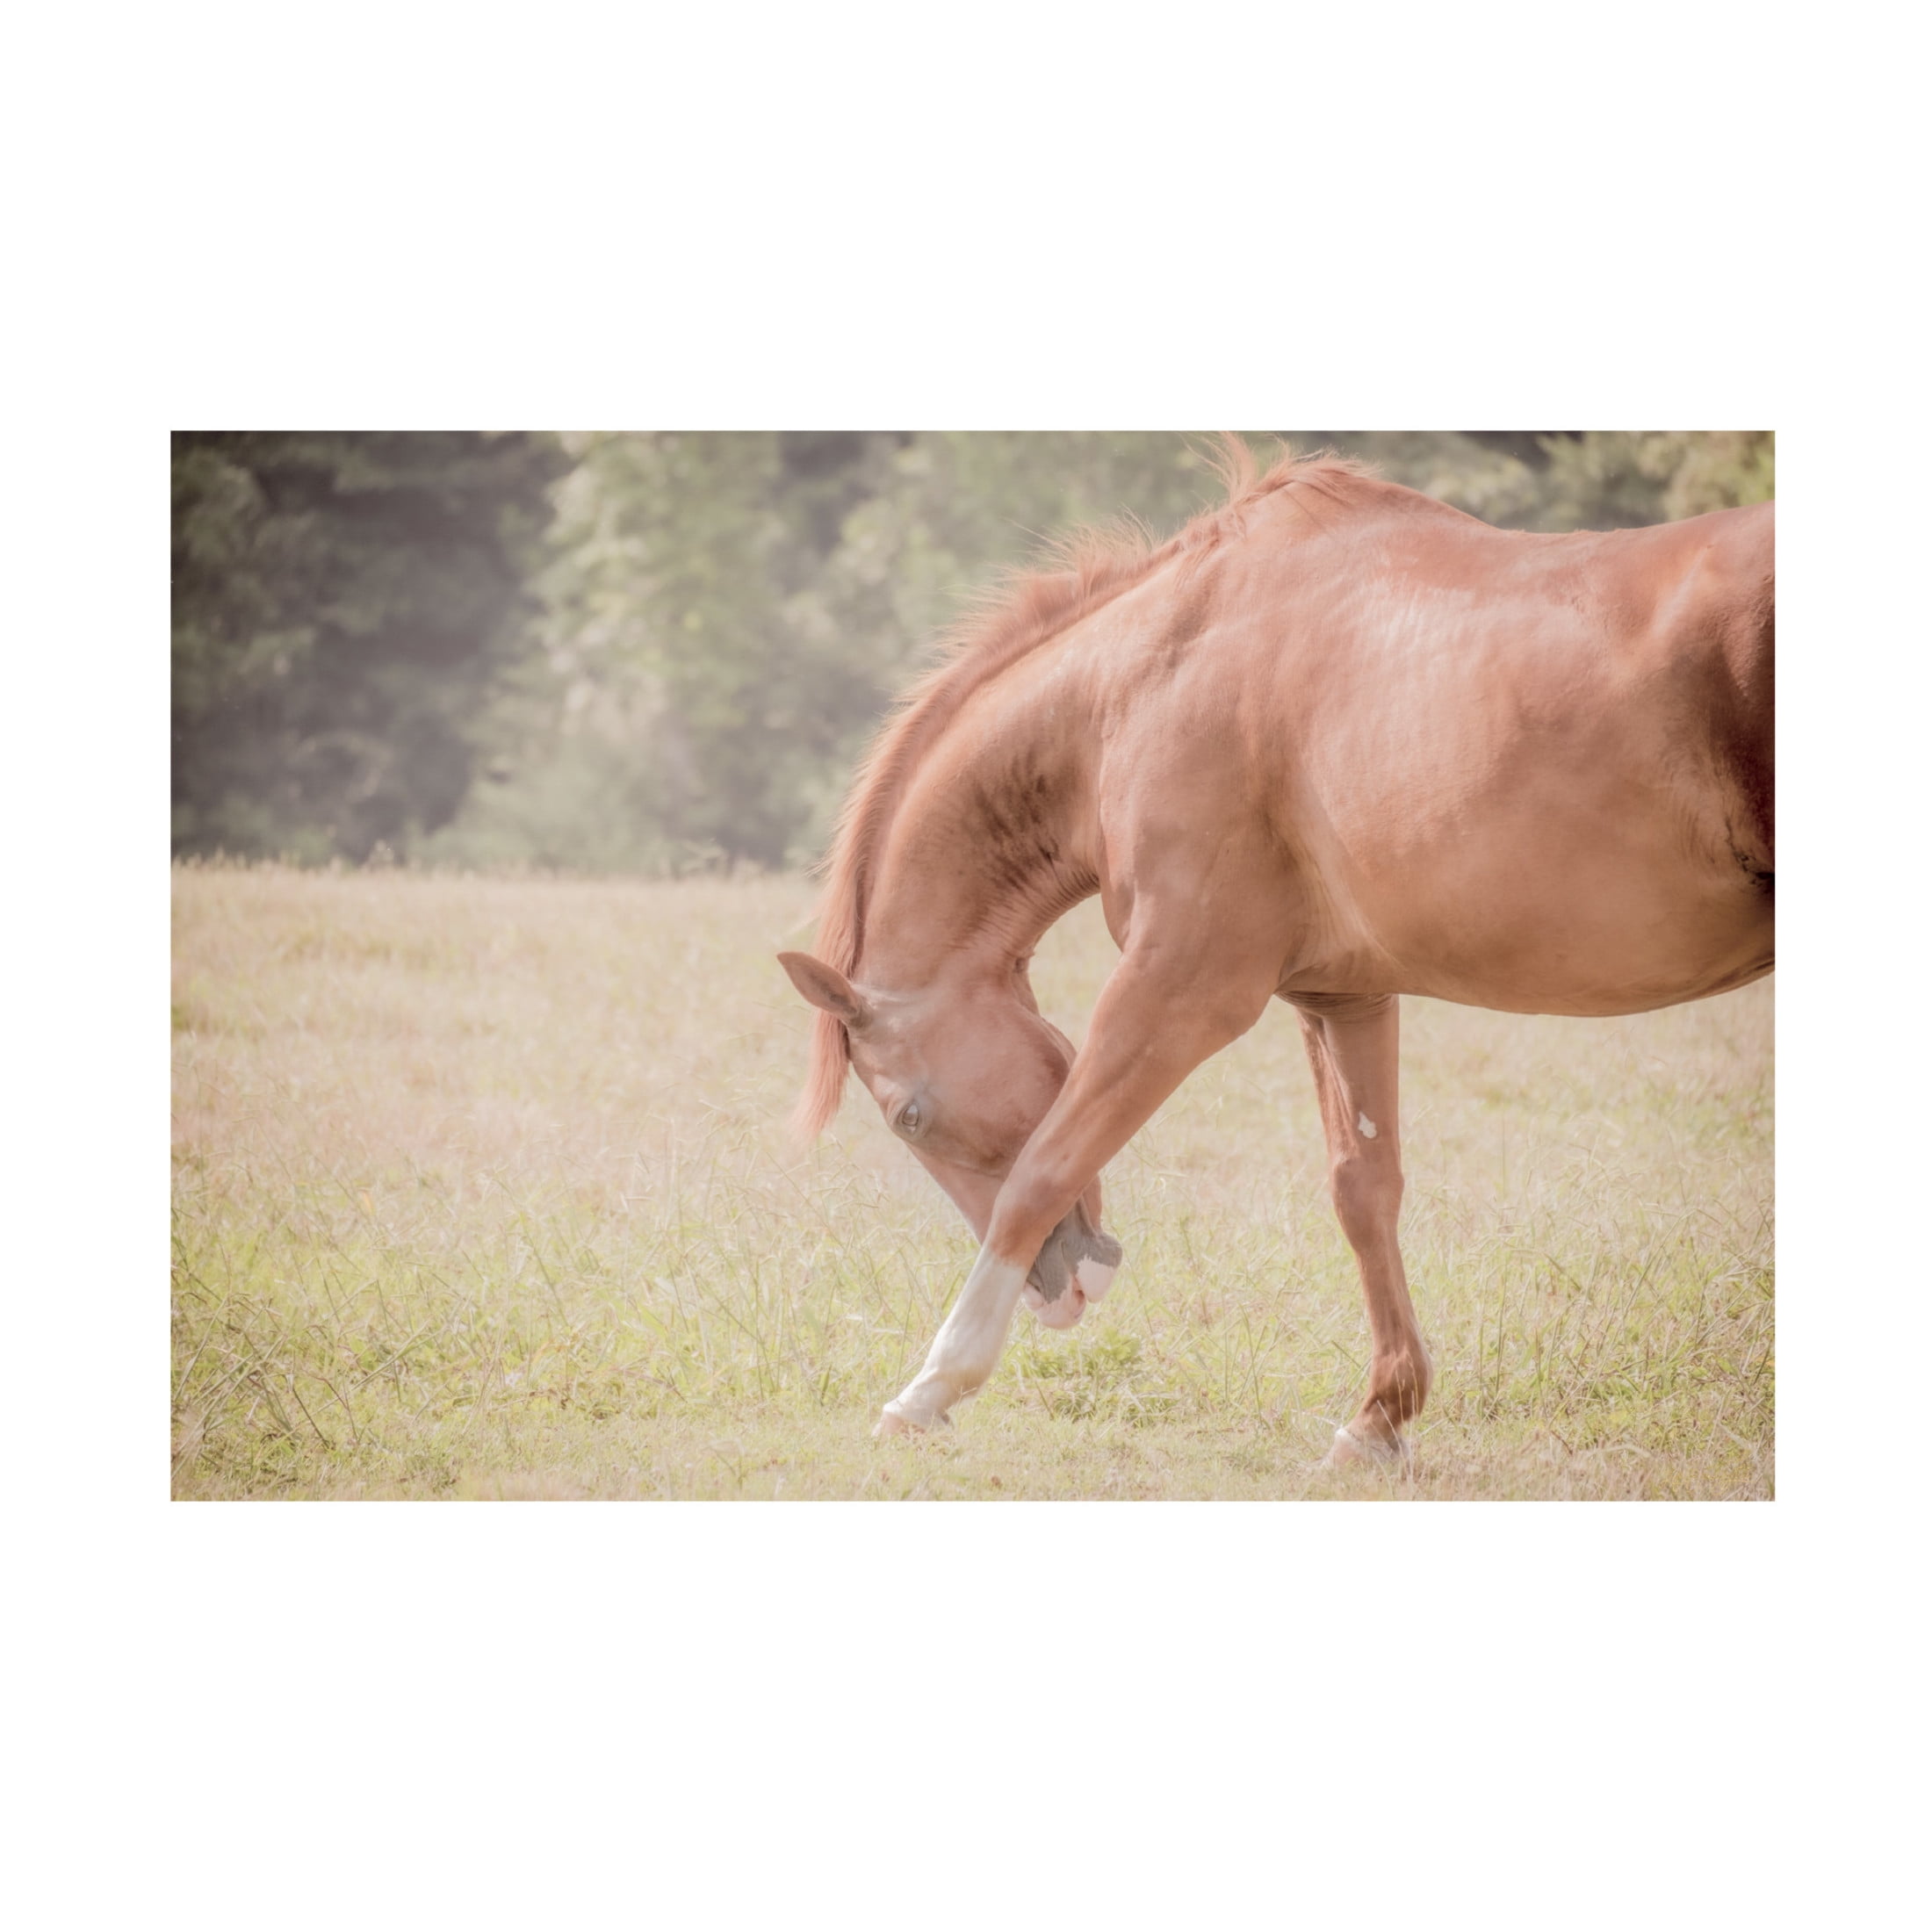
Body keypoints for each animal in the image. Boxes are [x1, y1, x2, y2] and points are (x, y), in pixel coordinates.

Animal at [778, 445, 1773, 1464]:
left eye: (909, 1117)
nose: (1059, 1296)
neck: (1138, 691)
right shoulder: (1343, 997)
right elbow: (1363, 1191)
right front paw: (1379, 1416)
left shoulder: (1179, 990)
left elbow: (1039, 1171)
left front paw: (931, 1387)